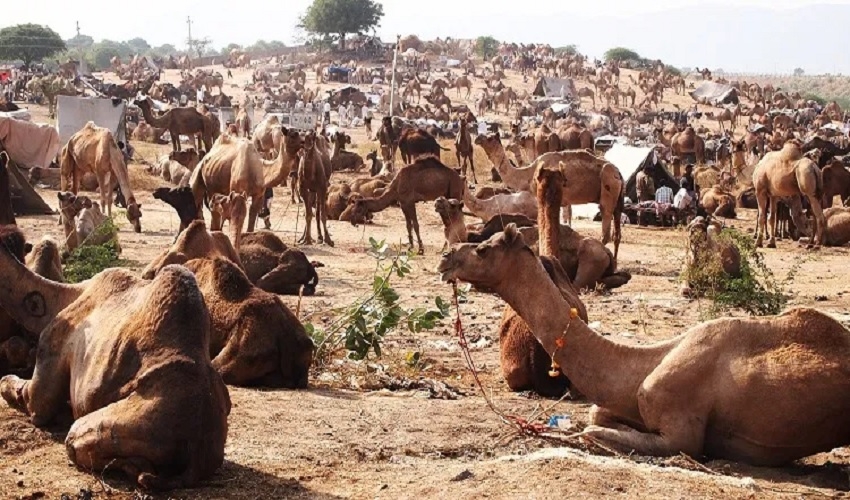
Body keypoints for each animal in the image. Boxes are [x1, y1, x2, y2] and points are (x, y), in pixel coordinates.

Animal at [440, 224, 848, 464]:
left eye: (484, 249)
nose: (446, 256)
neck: (644, 364)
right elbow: (595, 415)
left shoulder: (680, 435)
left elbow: (592, 431)